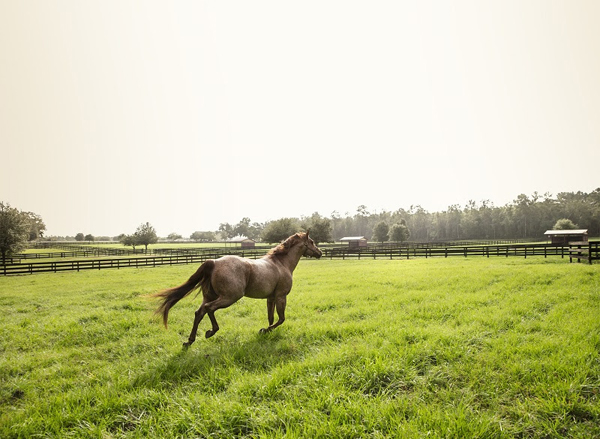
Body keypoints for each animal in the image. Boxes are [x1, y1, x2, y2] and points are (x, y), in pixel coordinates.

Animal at [152, 232, 324, 348]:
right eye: (312, 241)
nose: (320, 253)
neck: (281, 263)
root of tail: (213, 262)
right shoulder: (281, 296)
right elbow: (281, 319)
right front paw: (265, 331)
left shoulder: (270, 298)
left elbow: (271, 318)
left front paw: (266, 330)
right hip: (229, 297)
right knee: (209, 309)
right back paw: (211, 332)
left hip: (210, 296)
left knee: (199, 313)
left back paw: (189, 341)